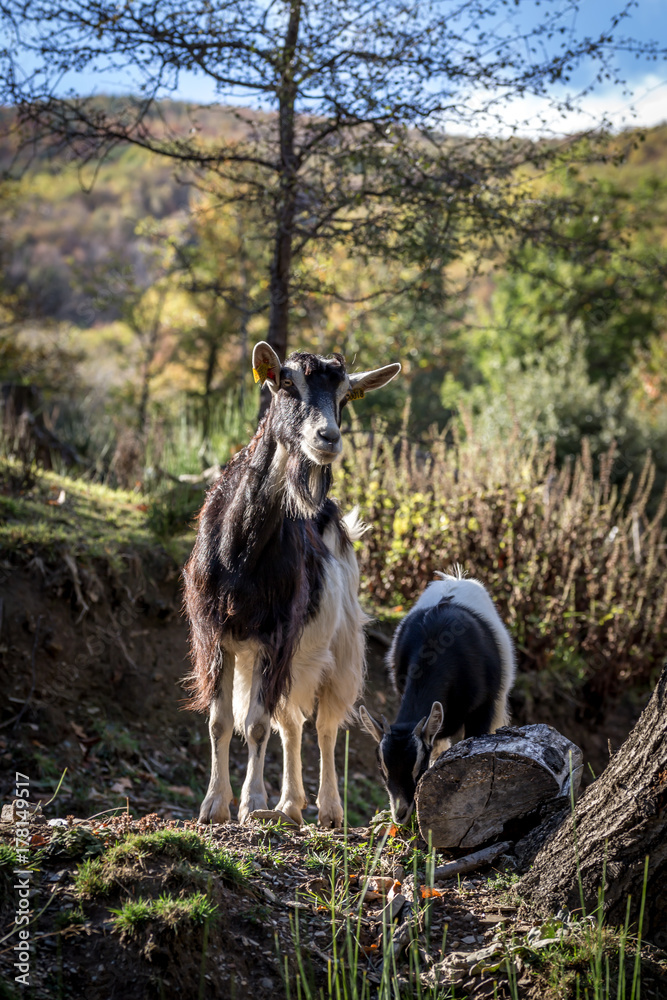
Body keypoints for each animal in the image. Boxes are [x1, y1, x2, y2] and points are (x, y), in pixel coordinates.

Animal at [184, 340, 402, 824]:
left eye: (345, 396)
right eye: (286, 383)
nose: (328, 438)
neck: (241, 552)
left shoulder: (276, 634)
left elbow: (255, 724)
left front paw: (251, 803)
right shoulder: (215, 632)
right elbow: (220, 722)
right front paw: (214, 805)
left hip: (338, 648)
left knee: (324, 724)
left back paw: (328, 809)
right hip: (295, 657)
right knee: (292, 723)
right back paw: (290, 805)